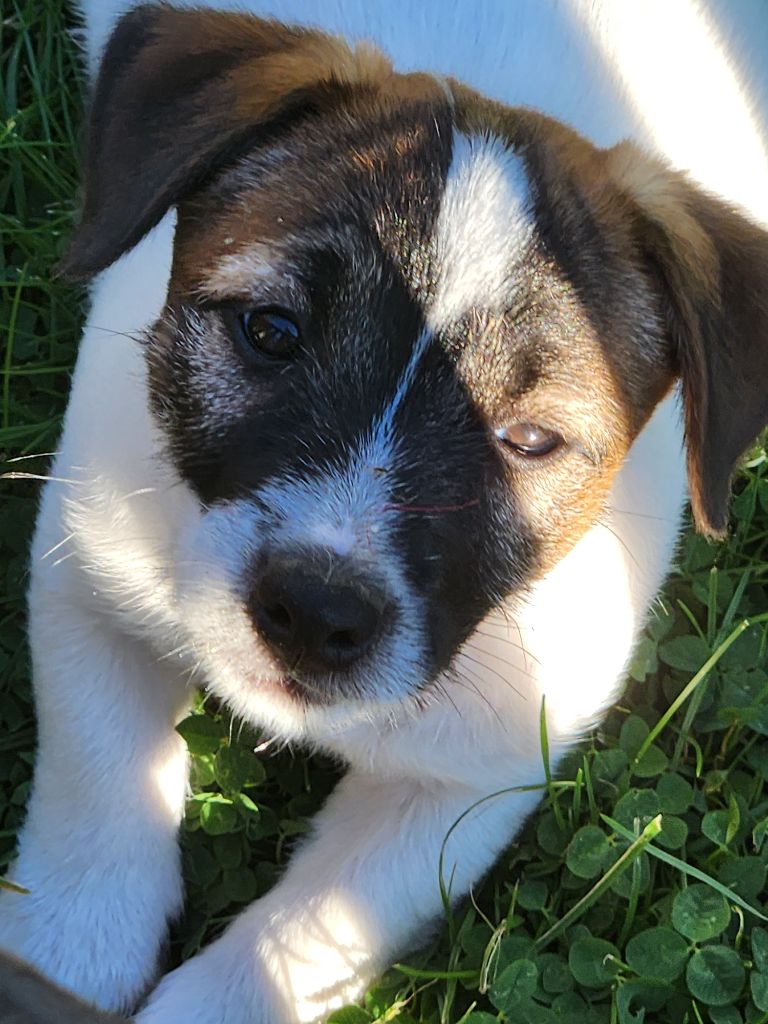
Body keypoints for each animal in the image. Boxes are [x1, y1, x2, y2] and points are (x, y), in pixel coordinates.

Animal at [1, 1, 768, 1021]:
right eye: (270, 331)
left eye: (530, 439)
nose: (314, 612)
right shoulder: (86, 568)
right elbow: (99, 780)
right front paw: (68, 948)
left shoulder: (467, 783)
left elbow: (302, 932)